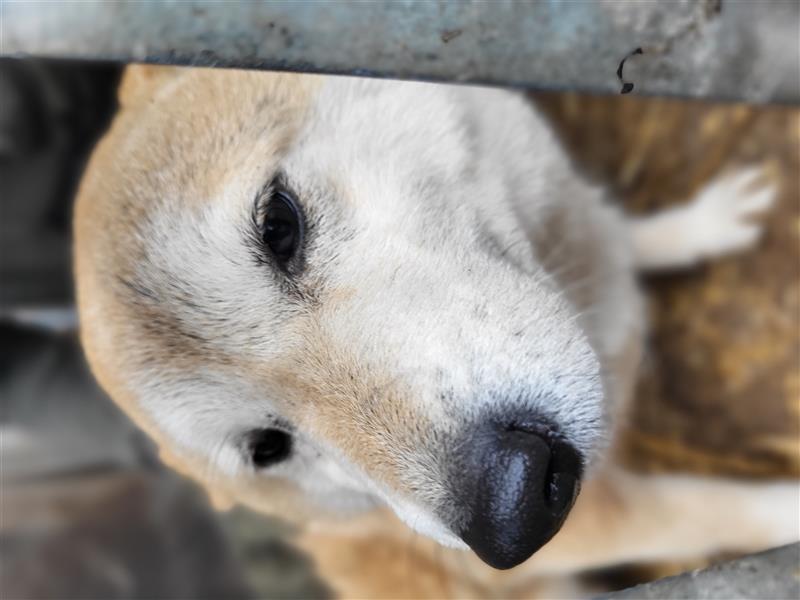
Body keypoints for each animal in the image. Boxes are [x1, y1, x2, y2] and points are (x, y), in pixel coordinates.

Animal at [73, 64, 792, 596]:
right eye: (269, 447)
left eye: (278, 224)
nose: (513, 510)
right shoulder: (601, 523)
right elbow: (706, 509)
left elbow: (631, 234)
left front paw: (700, 225)